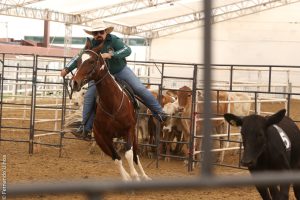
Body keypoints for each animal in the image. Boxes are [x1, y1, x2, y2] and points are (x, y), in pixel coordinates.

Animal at [70, 40, 150, 181]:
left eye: (91, 61)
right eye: (79, 61)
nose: (74, 83)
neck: (112, 105)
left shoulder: (129, 130)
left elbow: (129, 154)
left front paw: (135, 176)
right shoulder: (102, 137)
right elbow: (116, 158)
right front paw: (127, 178)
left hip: (134, 134)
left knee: (136, 156)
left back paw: (144, 176)